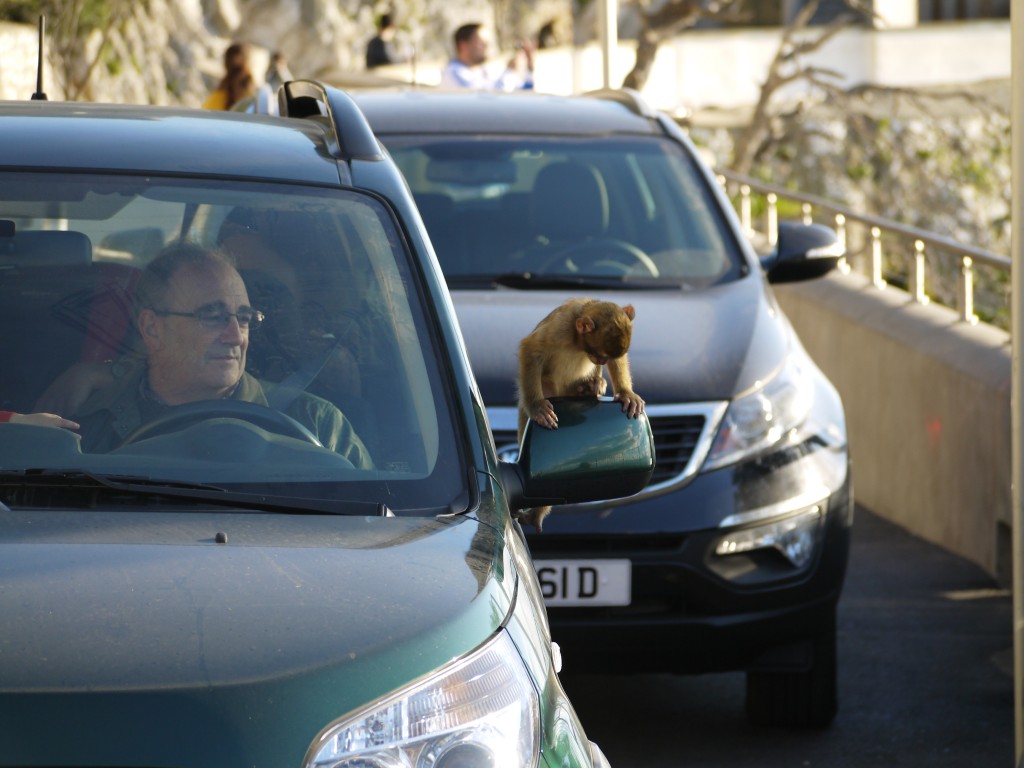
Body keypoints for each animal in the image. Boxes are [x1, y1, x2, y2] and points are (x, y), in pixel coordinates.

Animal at [516, 296, 643, 532]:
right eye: (601, 354)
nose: (601, 362)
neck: (576, 339)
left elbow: (619, 361)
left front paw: (626, 393)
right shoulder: (559, 328)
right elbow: (531, 349)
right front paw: (537, 406)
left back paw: (591, 386)